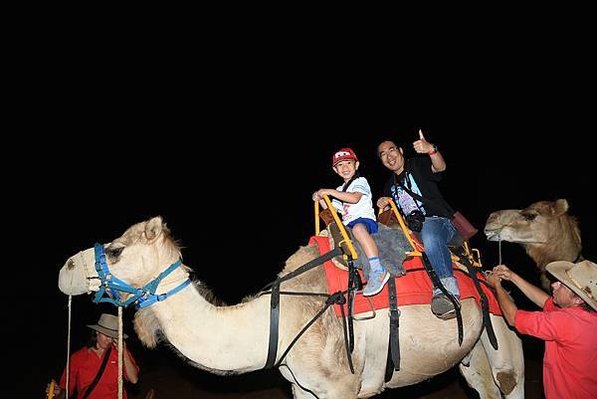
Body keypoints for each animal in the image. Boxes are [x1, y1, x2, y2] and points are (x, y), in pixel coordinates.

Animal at [57, 217, 520, 398]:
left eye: (115, 250)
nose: (64, 269)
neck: (277, 321)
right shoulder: (305, 388)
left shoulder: (342, 388)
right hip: (471, 353)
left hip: (503, 326)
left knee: (509, 379)